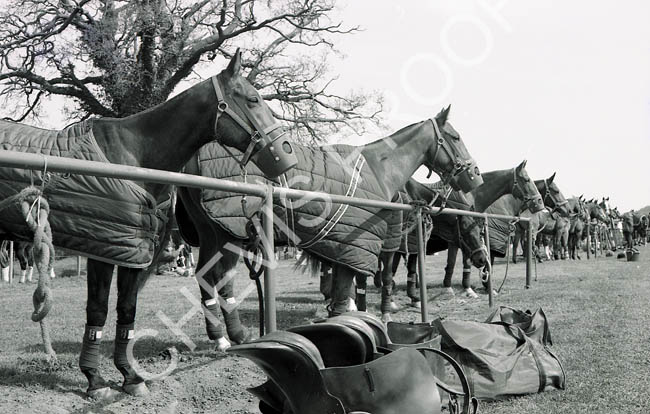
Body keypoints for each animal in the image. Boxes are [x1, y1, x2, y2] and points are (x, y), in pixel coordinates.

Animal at [0, 50, 295, 399]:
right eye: (253, 99)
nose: (286, 152)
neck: (133, 157)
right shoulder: (104, 250)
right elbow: (98, 309)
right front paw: (95, 380)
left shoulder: (134, 252)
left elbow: (127, 310)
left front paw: (129, 376)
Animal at [176, 105, 484, 350]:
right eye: (455, 137)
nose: (475, 175)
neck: (377, 170)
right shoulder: (357, 247)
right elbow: (345, 298)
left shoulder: (344, 249)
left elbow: (342, 294)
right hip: (227, 234)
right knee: (219, 278)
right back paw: (232, 336)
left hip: (215, 235)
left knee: (209, 277)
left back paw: (224, 336)